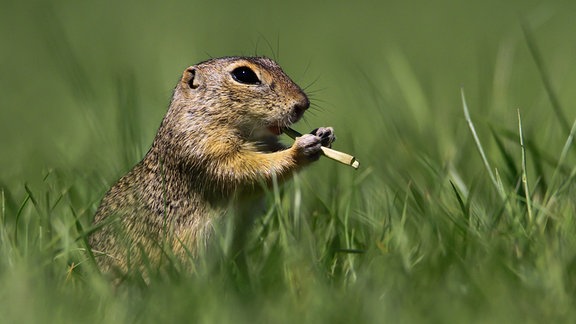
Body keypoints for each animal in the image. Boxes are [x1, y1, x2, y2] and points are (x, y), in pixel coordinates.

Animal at [88, 56, 336, 276]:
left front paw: (324, 134)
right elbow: (247, 169)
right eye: (244, 75)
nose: (303, 104)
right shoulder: (205, 152)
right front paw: (301, 148)